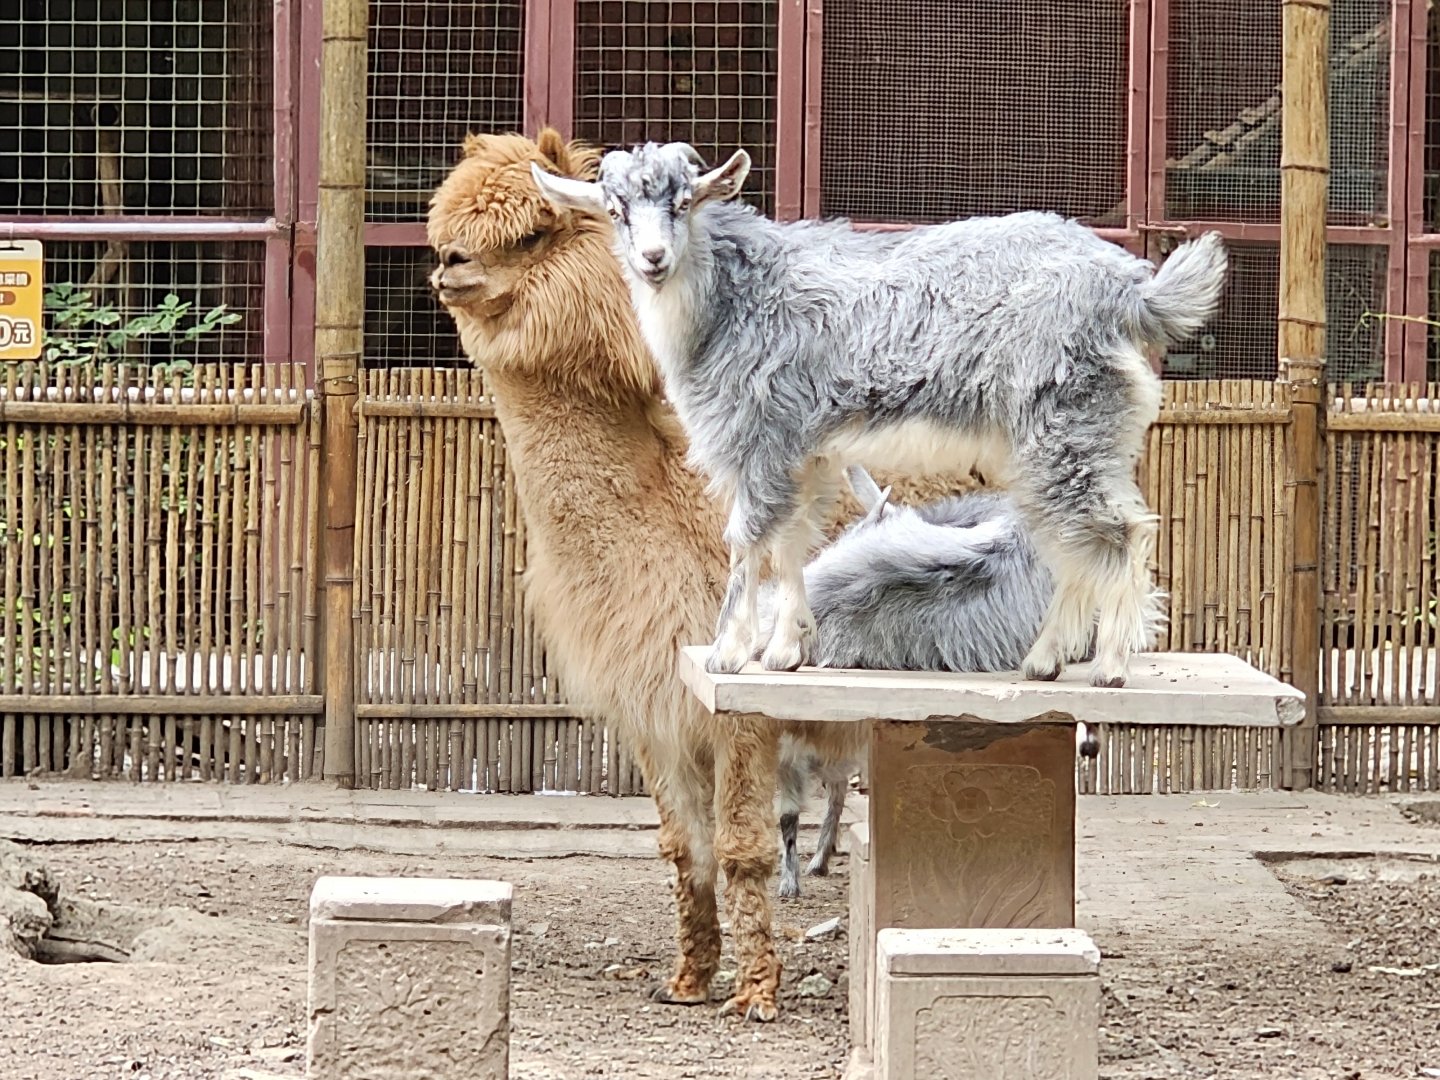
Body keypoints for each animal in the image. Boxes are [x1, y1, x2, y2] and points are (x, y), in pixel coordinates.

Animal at [531, 143, 1227, 690]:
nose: (652, 259)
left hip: (1065, 427)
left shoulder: (760, 441)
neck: (736, 299)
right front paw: (786, 651)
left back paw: (1109, 666)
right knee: (1075, 542)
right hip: (1070, 443)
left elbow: (747, 542)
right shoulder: (808, 454)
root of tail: (1132, 292)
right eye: (616, 210)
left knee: (1119, 533)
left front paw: (730, 653)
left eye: (683, 203)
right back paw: (1046, 661)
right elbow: (793, 543)